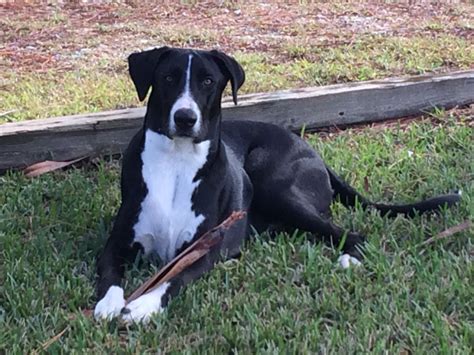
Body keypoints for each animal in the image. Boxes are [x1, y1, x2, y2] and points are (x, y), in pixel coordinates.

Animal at [94, 46, 462, 324]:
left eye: (208, 81)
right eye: (168, 78)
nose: (185, 118)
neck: (176, 163)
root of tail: (311, 151)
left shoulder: (201, 249)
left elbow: (174, 279)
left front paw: (144, 305)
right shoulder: (118, 241)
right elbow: (109, 273)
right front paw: (110, 304)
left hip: (274, 184)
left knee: (353, 234)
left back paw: (349, 259)